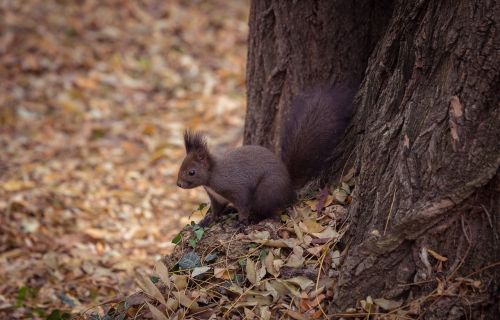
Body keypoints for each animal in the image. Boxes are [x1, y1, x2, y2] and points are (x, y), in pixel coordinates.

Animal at [178, 84, 354, 225]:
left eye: (191, 172)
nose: (179, 184)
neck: (212, 176)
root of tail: (290, 190)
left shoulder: (236, 188)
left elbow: (243, 204)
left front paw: (241, 222)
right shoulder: (216, 198)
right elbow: (216, 210)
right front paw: (209, 220)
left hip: (266, 191)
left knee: (271, 211)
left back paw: (256, 219)